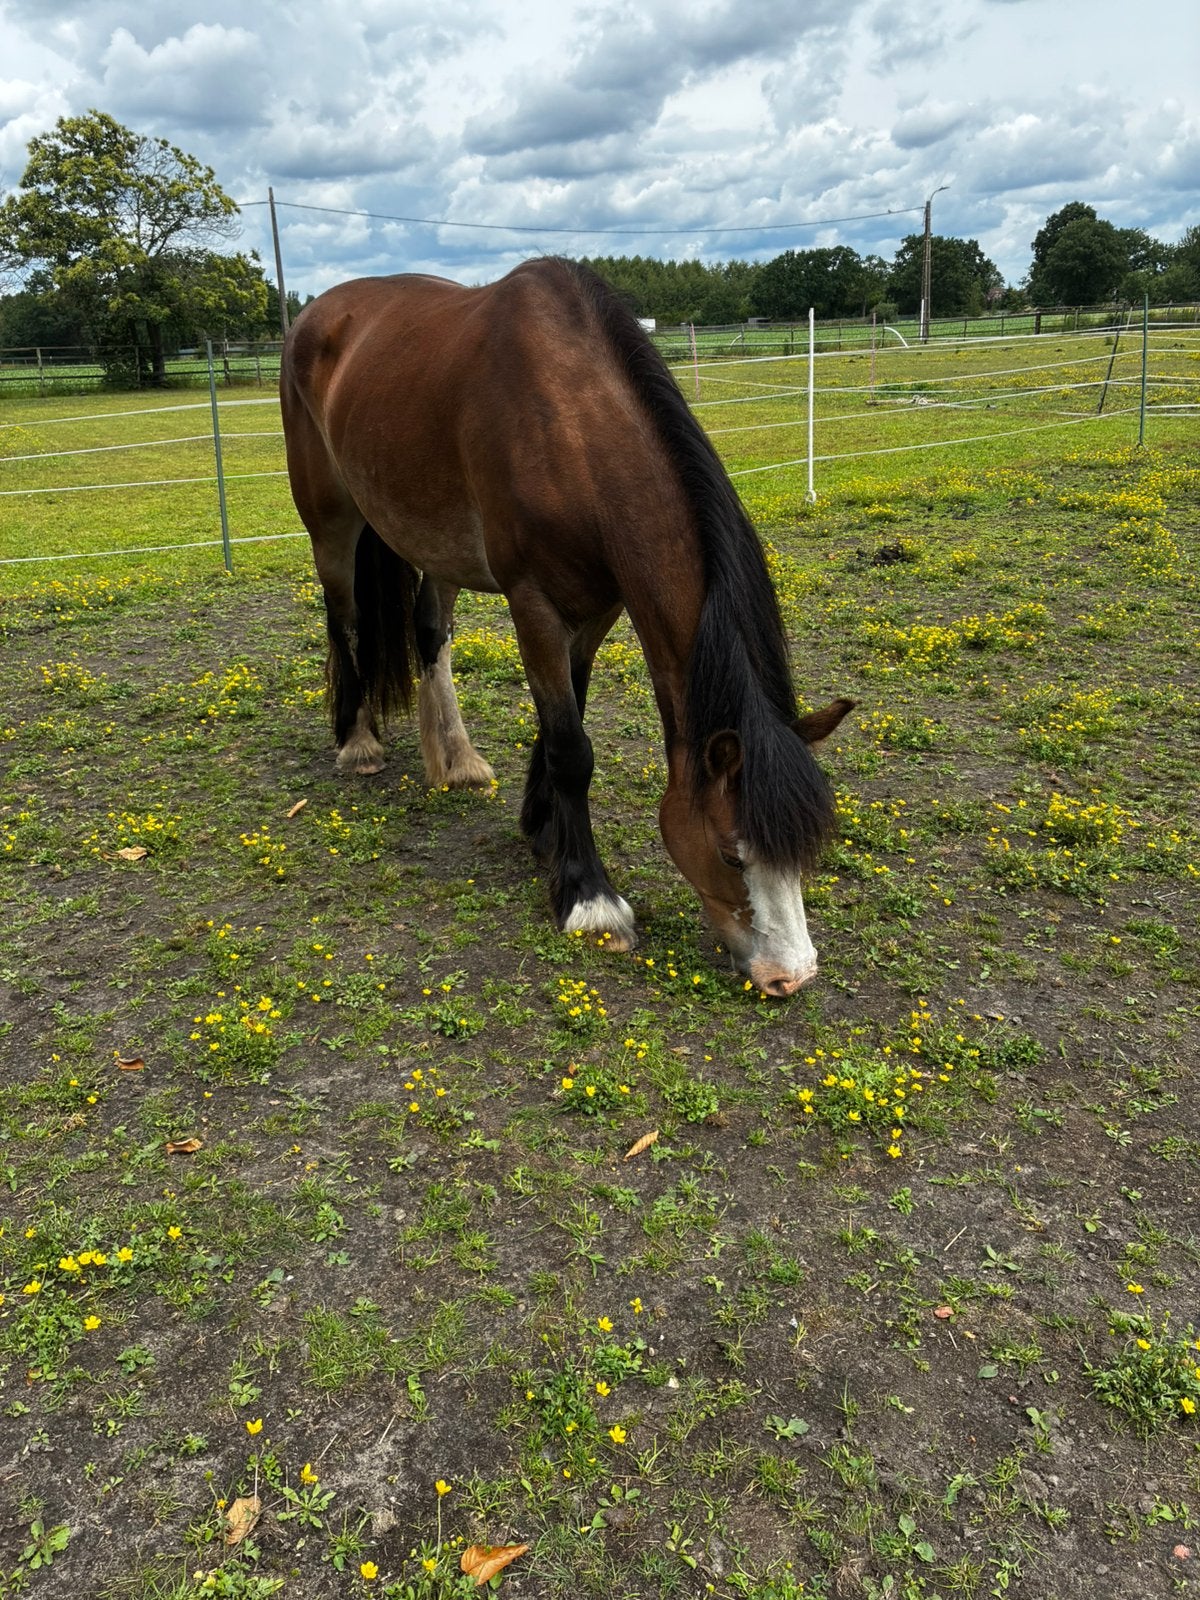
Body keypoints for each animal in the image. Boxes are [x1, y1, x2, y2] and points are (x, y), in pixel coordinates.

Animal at [280, 258, 852, 996]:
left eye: (808, 850)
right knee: (344, 623)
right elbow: (570, 747)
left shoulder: (600, 607)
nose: (793, 975)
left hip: (430, 541)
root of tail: (317, 315)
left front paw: (542, 825)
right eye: (731, 854)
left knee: (430, 632)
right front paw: (588, 896)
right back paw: (357, 741)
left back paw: (456, 758)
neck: (570, 424)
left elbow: (568, 713)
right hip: (332, 521)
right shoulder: (535, 605)